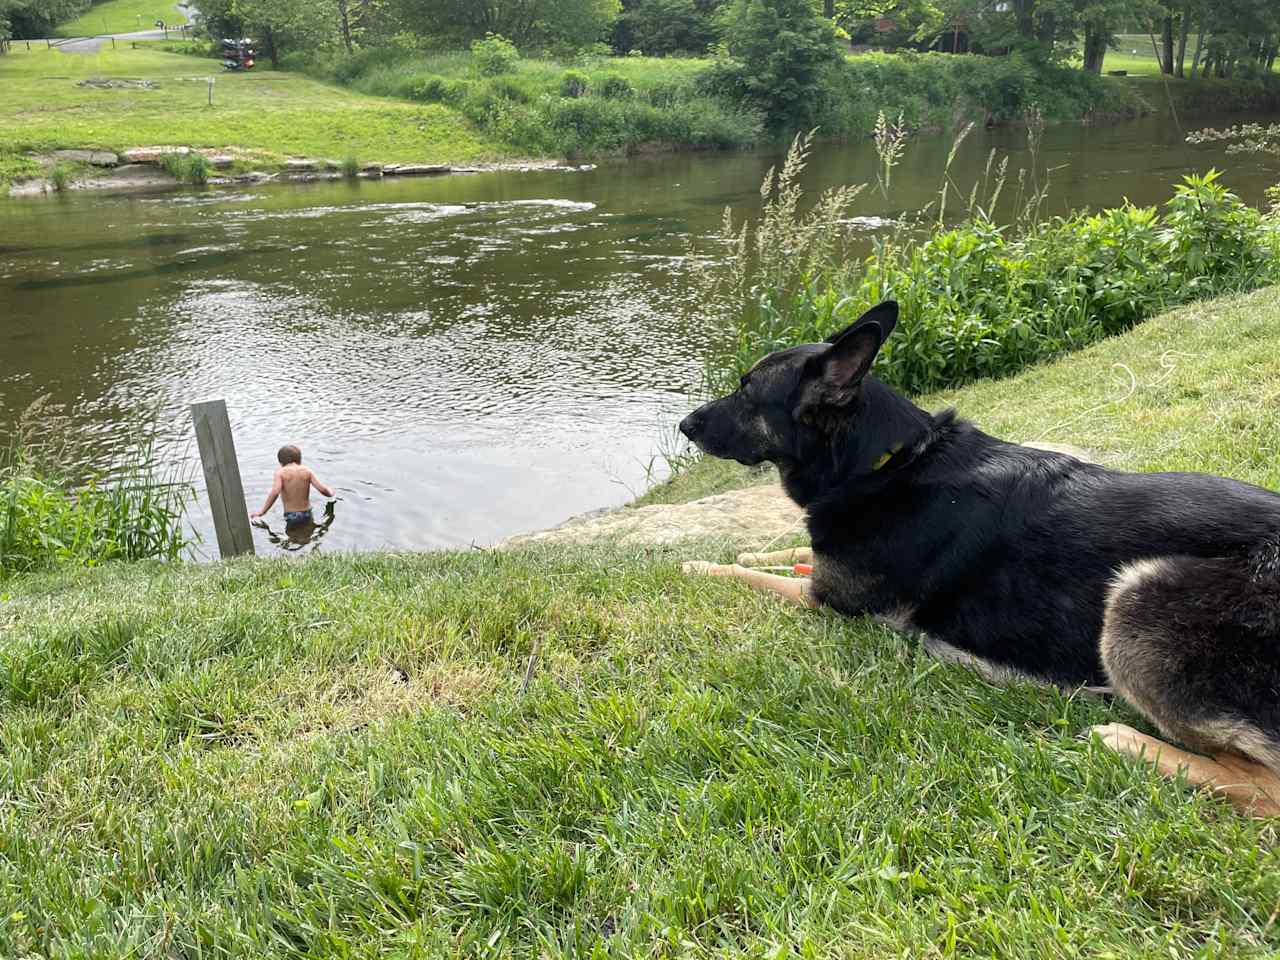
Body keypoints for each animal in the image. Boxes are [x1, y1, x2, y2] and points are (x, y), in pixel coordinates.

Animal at [686, 302, 1280, 819]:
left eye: (745, 391)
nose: (684, 425)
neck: (886, 463)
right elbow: (786, 552)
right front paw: (748, 548)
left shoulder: (826, 603)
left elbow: (749, 576)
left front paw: (695, 567)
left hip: (1140, 595)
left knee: (1261, 786)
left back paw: (1124, 740)